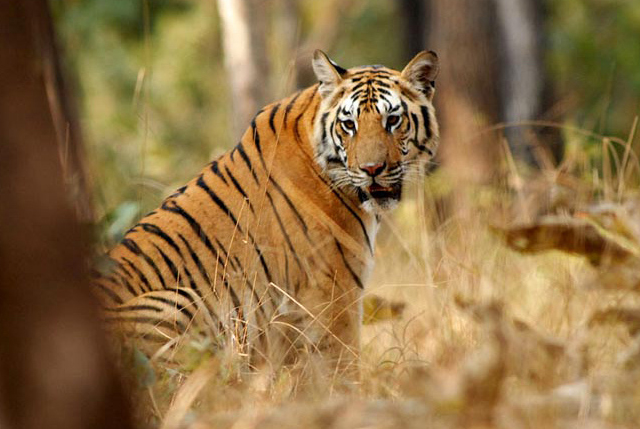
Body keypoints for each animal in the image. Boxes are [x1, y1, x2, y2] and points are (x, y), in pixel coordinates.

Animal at [92, 50, 438, 372]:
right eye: (349, 125)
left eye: (392, 121)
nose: (372, 169)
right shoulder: (334, 292)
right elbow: (343, 364)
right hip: (179, 301)